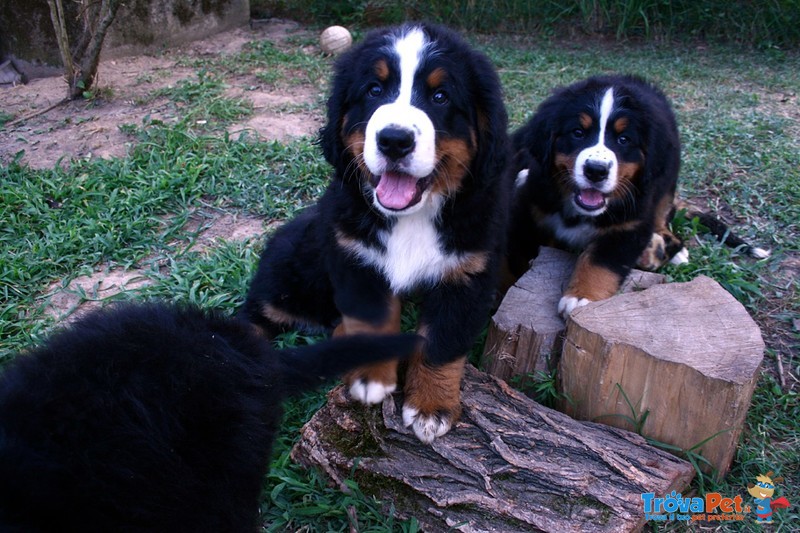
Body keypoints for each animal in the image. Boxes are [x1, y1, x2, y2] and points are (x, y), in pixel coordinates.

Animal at [241, 22, 510, 442]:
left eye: (440, 96)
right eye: (374, 90)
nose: (394, 140)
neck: (412, 217)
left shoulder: (467, 273)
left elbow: (442, 342)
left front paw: (431, 407)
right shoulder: (355, 254)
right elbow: (370, 320)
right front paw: (370, 378)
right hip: (293, 274)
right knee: (255, 315)